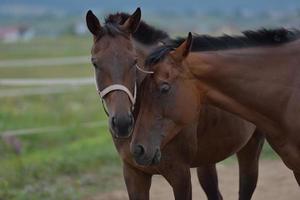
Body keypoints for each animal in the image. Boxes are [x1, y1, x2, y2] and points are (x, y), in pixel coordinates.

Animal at [86, 8, 264, 200]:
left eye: (134, 61)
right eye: (95, 63)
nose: (122, 123)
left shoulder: (180, 175)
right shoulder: (134, 173)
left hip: (251, 147)